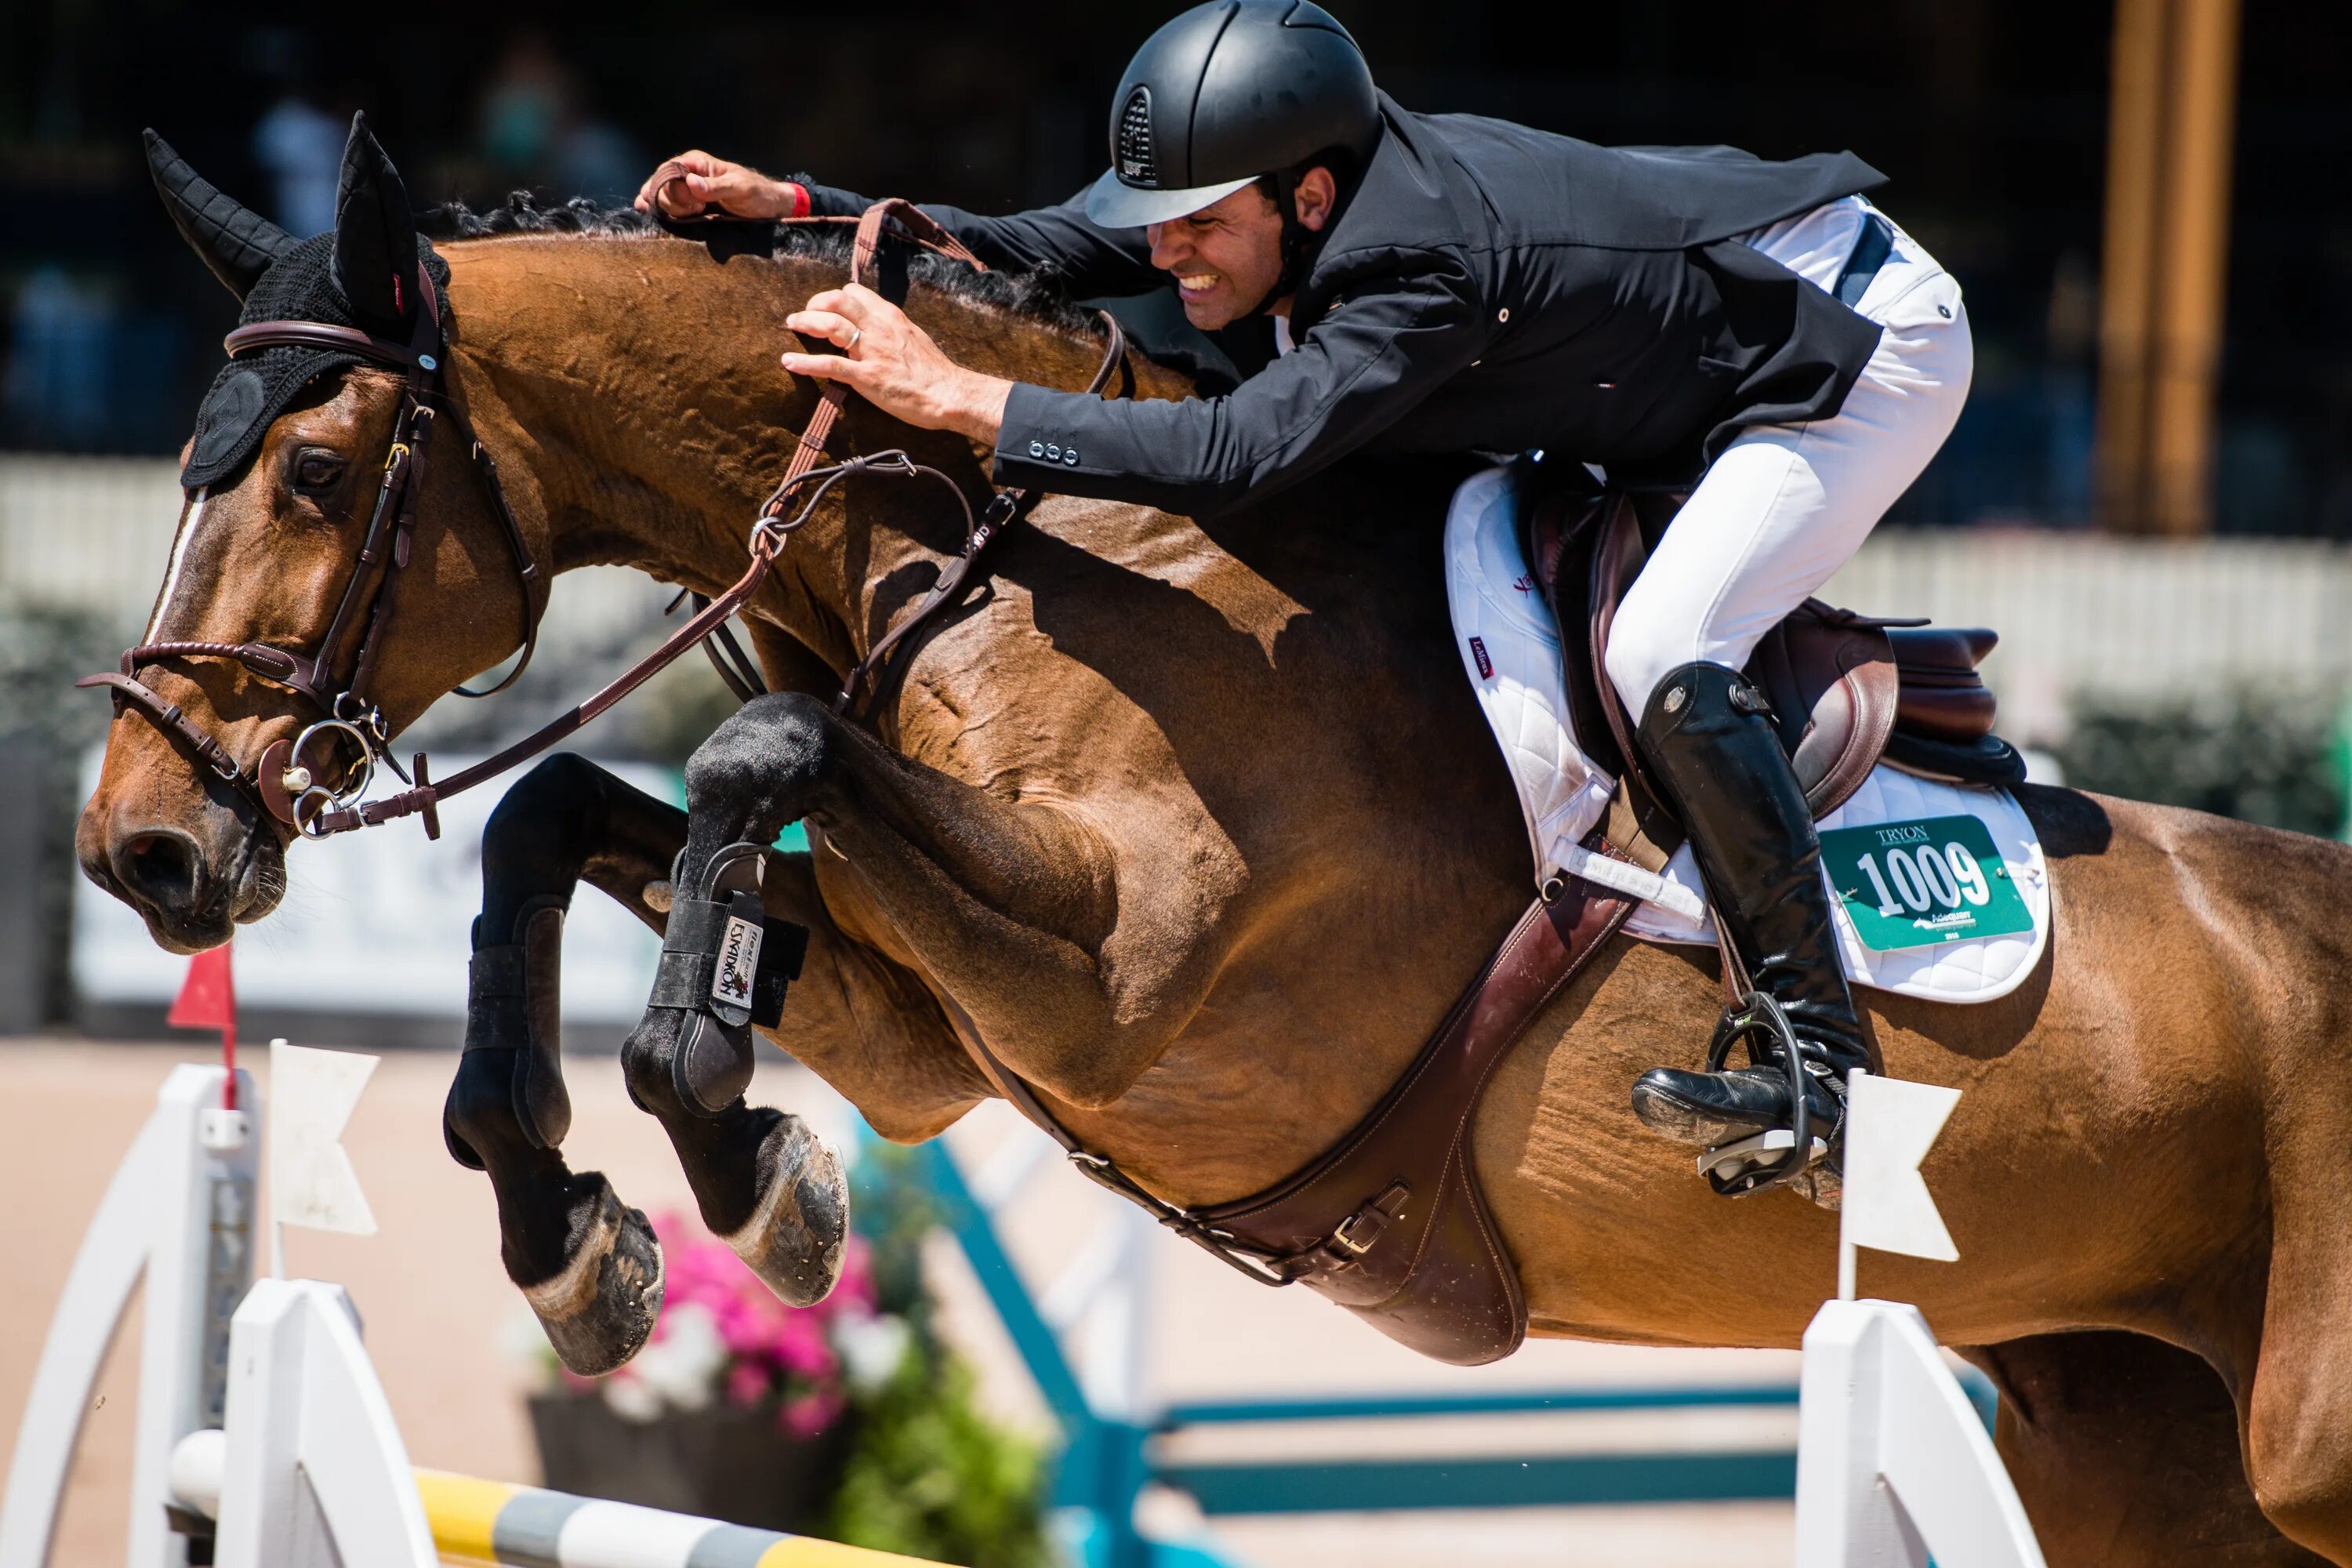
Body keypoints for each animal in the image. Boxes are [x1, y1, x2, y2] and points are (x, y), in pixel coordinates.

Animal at [82, 125, 2352, 1568]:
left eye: (312, 469)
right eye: (180, 464)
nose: (141, 854)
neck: (1036, 545)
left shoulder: (1131, 996)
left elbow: (756, 747)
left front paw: (714, 1120)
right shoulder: (939, 1029)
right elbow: (566, 815)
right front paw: (627, 1224)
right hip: (2147, 1459)